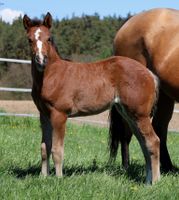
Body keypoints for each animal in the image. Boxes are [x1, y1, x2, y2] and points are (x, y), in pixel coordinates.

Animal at [22, 12, 159, 184]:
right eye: (29, 39)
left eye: (49, 38)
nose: (41, 60)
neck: (51, 75)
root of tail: (150, 74)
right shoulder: (44, 115)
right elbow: (44, 148)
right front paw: (43, 177)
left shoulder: (59, 115)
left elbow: (57, 150)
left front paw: (59, 179)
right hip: (130, 115)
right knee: (144, 143)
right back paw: (148, 181)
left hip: (140, 115)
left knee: (153, 142)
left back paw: (155, 182)